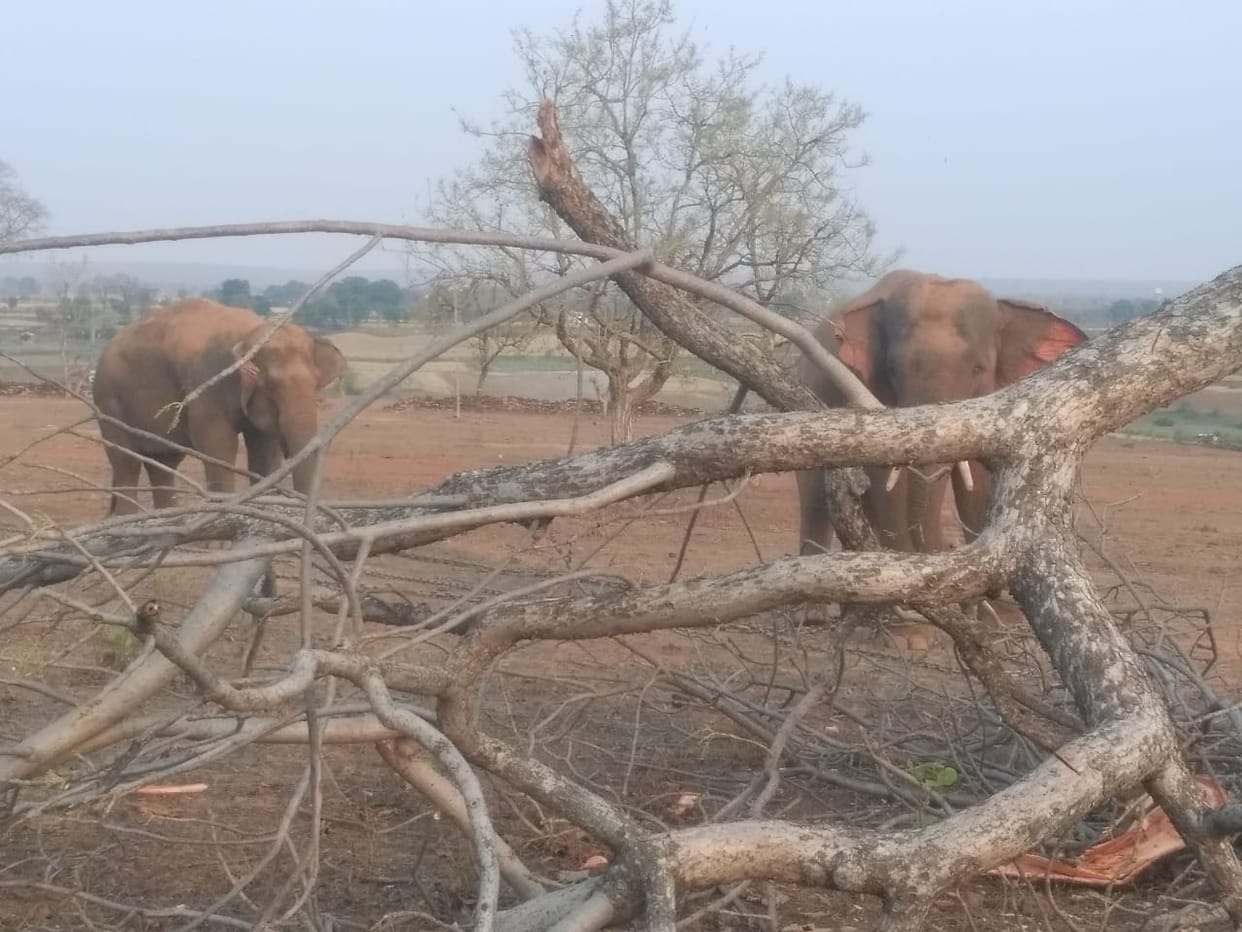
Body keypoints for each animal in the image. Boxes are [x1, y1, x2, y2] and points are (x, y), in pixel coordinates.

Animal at [92, 298, 346, 516]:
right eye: (271, 386)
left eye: (317, 385)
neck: (248, 334)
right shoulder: (207, 384)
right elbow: (219, 447)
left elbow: (264, 452)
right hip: (109, 401)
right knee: (127, 462)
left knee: (163, 462)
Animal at [796, 269, 1087, 557]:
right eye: (892, 369)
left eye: (978, 368)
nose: (945, 547)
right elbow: (889, 490)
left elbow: (979, 488)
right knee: (815, 507)